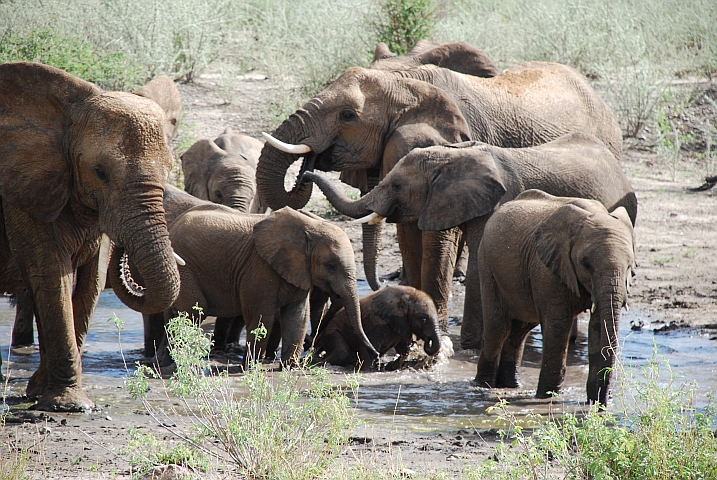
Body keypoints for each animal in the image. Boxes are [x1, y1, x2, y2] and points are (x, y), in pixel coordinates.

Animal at [0, 62, 182, 410]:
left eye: (169, 170)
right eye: (100, 172)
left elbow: (92, 279)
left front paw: (41, 393)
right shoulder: (23, 194)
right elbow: (52, 275)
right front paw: (69, 404)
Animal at [302, 132, 636, 348]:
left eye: (396, 185)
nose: (305, 174)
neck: (452, 155)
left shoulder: (500, 198)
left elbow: (479, 255)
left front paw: (470, 345)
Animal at [314, 284, 442, 368]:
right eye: (423, 320)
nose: (426, 341)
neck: (407, 295)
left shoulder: (403, 325)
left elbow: (403, 348)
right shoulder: (377, 324)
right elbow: (369, 349)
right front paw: (369, 369)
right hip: (332, 333)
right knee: (342, 352)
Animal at [472, 191, 636, 404]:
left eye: (630, 265)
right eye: (585, 264)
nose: (603, 403)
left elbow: (598, 325)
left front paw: (593, 402)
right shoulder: (548, 270)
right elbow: (558, 324)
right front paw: (546, 398)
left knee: (519, 331)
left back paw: (510, 385)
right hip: (486, 264)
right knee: (498, 327)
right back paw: (483, 386)